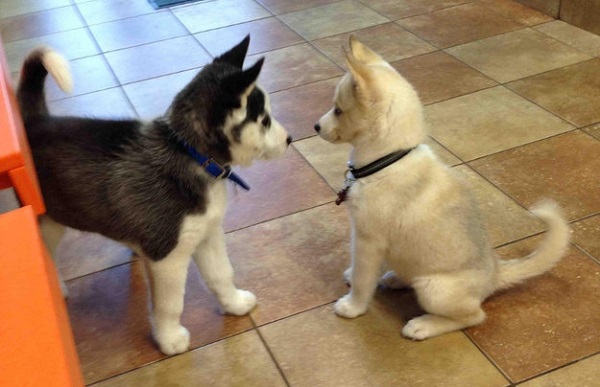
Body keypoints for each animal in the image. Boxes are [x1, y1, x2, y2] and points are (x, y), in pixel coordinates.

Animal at [17, 36, 292, 354]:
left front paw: (234, 303)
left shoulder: (208, 234)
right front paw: (169, 339)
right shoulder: (167, 257)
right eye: (264, 121)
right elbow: (170, 305)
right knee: (46, 252)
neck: (190, 153)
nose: (289, 139)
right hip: (47, 222)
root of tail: (34, 121)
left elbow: (222, 274)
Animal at [316, 36, 568, 340]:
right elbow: (360, 269)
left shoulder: (368, 239)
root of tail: (494, 273)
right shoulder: (363, 238)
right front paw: (352, 277)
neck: (388, 159)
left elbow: (364, 279)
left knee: (473, 316)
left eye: (338, 110)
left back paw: (423, 325)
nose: (316, 126)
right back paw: (396, 278)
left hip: (433, 288)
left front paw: (352, 305)